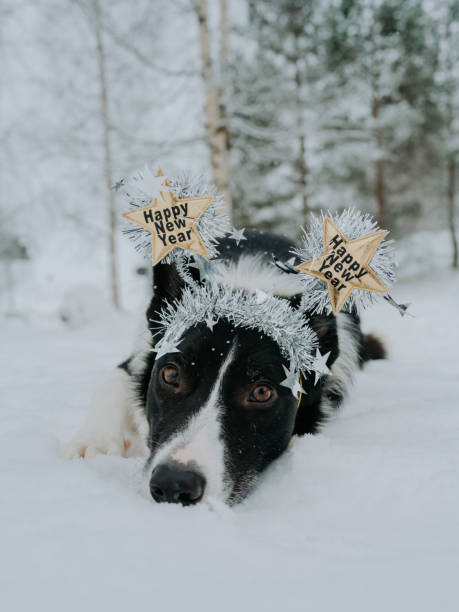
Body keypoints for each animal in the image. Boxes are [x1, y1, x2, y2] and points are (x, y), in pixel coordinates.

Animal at [61, 231, 384, 506]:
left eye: (262, 392)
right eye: (171, 375)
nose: (174, 484)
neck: (247, 290)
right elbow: (114, 382)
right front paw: (96, 443)